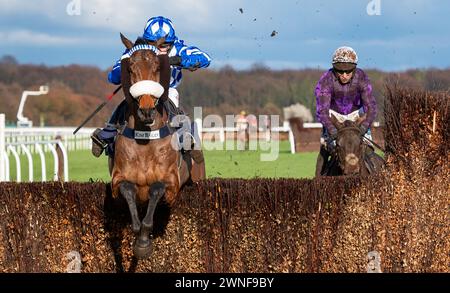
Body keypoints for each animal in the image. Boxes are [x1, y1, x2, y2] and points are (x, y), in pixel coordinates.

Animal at [111, 33, 206, 258]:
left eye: (157, 67)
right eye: (130, 68)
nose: (146, 110)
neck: (145, 139)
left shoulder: (172, 183)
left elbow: (156, 188)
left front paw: (143, 243)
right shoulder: (116, 181)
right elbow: (128, 188)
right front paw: (138, 233)